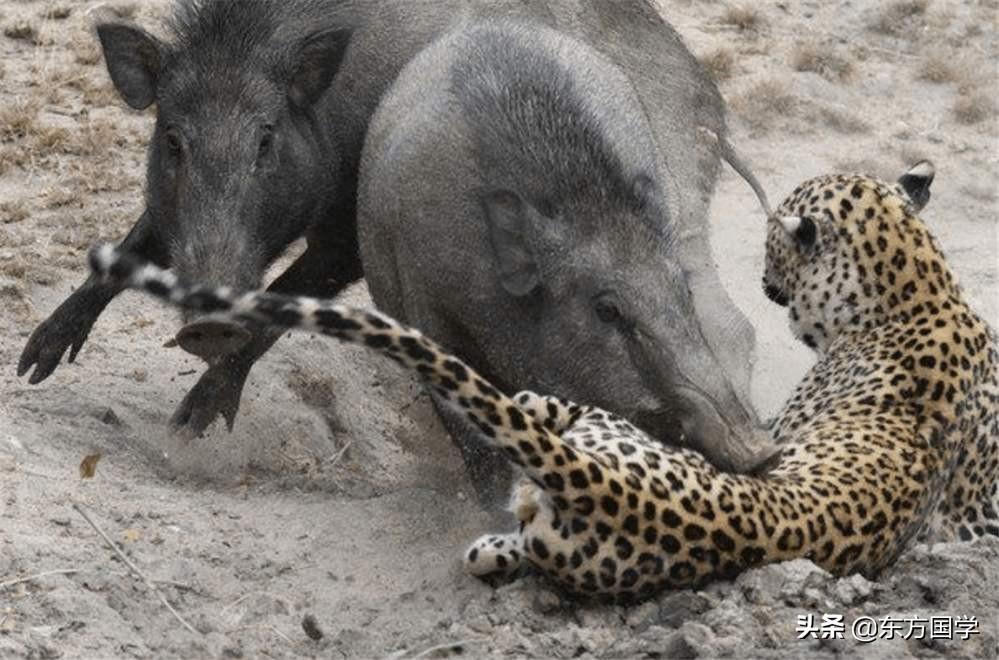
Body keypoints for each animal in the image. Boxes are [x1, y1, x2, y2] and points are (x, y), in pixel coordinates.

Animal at [90, 159, 996, 600]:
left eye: (777, 241)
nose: (767, 274)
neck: (917, 285)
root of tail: (615, 494)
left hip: (587, 435)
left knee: (525, 422)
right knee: (510, 526)